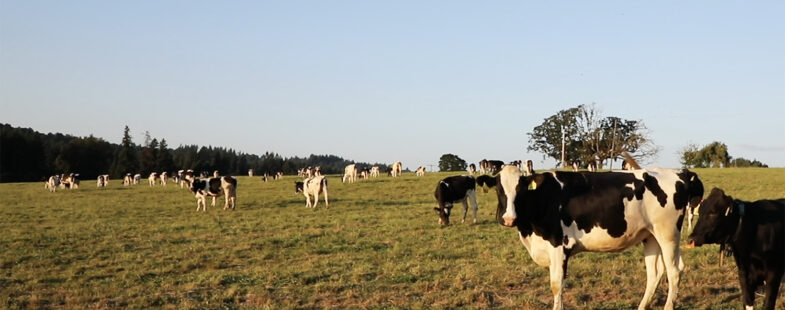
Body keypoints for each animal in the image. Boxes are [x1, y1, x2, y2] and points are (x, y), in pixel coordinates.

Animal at [494, 165, 700, 310]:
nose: (509, 219)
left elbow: (556, 285)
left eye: (521, 189)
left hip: (668, 234)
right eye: (499, 190)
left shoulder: (559, 247)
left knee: (674, 271)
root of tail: (680, 172)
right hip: (651, 236)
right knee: (655, 273)